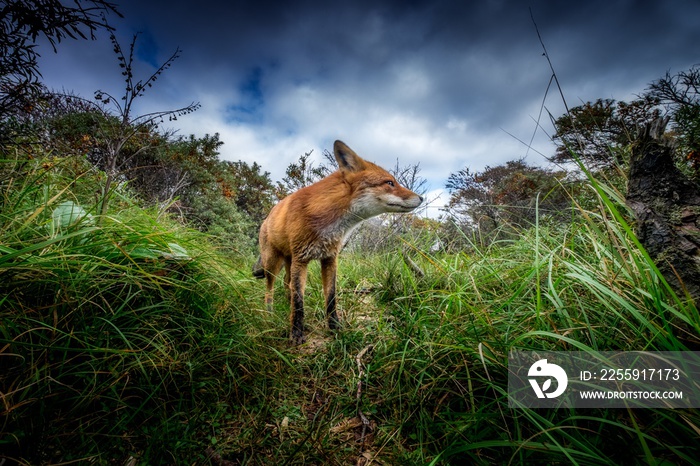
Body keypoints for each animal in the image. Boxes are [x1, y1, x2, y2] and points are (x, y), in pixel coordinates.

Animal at [254, 140, 424, 344]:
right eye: (390, 182)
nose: (421, 198)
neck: (325, 220)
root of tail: (266, 218)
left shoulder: (329, 258)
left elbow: (330, 298)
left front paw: (335, 327)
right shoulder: (302, 259)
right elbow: (299, 302)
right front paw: (296, 333)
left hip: (289, 261)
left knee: (287, 284)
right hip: (273, 263)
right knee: (270, 288)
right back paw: (269, 313)